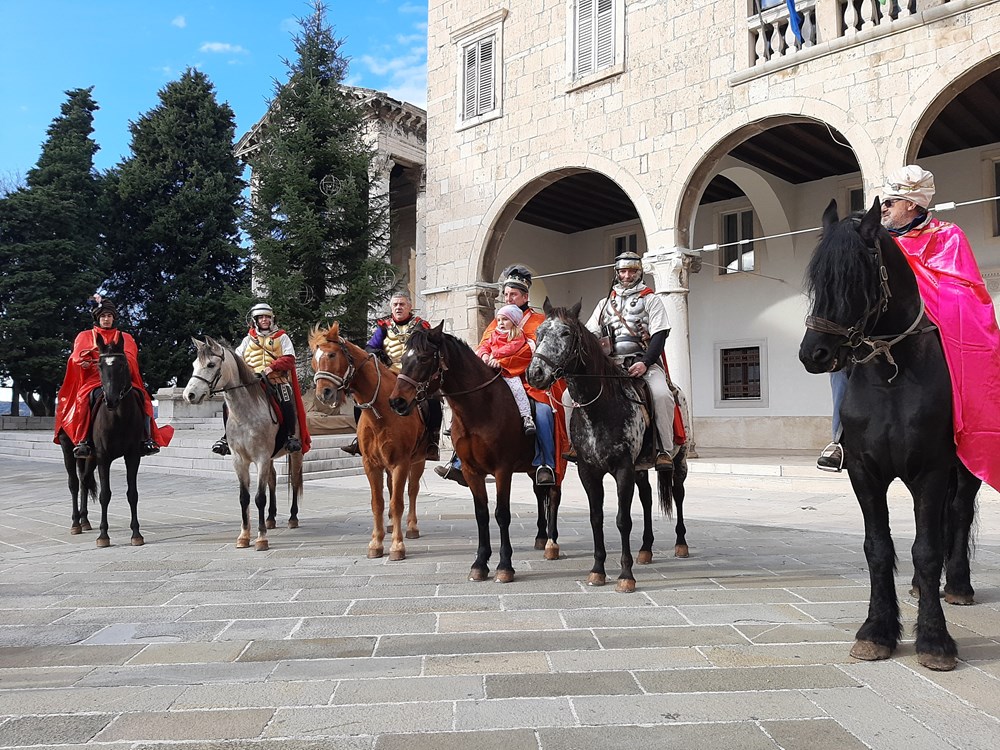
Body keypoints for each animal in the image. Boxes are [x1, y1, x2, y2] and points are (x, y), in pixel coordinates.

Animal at [182, 336, 302, 552]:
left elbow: (259, 498)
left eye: (211, 364)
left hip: (296, 452)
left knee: (295, 481)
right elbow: (244, 497)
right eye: (195, 364)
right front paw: (244, 536)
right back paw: (271, 518)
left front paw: (261, 539)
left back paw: (293, 517)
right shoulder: (240, 460)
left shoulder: (261, 458)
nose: (189, 395)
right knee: (272, 480)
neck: (245, 414)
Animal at [310, 324, 424, 564]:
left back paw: (411, 527)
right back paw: (390, 525)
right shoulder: (371, 464)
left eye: (332, 355)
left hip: (418, 460)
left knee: (412, 491)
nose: (324, 394)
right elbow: (378, 502)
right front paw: (376, 542)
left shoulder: (401, 463)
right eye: (314, 360)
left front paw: (397, 546)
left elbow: (398, 502)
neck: (382, 411)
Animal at [388, 324, 564, 588]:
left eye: (423, 358)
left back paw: (552, 543)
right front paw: (480, 563)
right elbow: (481, 515)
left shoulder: (502, 470)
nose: (396, 401)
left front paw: (504, 566)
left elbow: (502, 514)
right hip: (532, 466)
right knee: (539, 491)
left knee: (553, 496)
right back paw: (542, 537)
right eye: (404, 358)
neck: (481, 407)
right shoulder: (472, 472)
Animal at [524, 300, 688, 592]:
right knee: (647, 498)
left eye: (566, 333)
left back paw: (681, 544)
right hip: (640, 468)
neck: (600, 407)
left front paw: (626, 575)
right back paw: (645, 549)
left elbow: (623, 520)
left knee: (678, 494)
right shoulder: (589, 471)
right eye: (539, 333)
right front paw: (598, 570)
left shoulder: (623, 470)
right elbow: (596, 517)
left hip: (679, 460)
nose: (535, 373)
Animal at [800, 198, 980, 668]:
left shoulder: (932, 470)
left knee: (958, 513)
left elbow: (927, 549)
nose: (813, 353)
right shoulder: (864, 472)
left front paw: (934, 640)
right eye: (816, 279)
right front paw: (877, 631)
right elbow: (878, 548)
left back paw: (958, 585)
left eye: (855, 275)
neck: (891, 376)